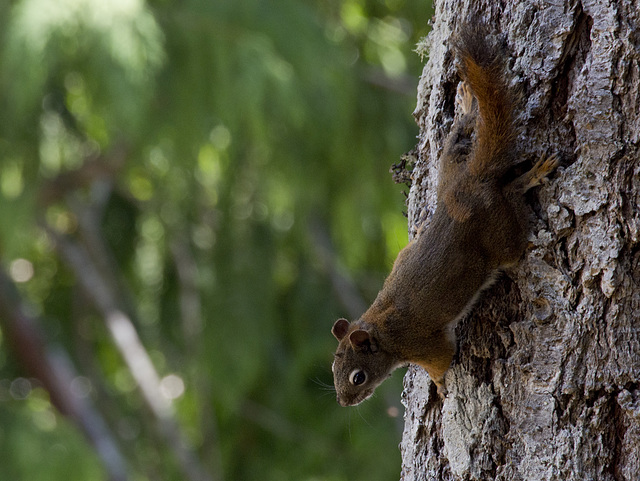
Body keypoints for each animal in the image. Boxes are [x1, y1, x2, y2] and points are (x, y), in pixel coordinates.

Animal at [332, 29, 556, 404]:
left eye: (357, 376)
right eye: (333, 366)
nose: (344, 401)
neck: (378, 325)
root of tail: (466, 188)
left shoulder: (425, 344)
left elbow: (441, 361)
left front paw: (439, 384)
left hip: (501, 236)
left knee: (510, 208)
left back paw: (528, 178)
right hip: (450, 170)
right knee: (458, 140)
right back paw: (466, 108)